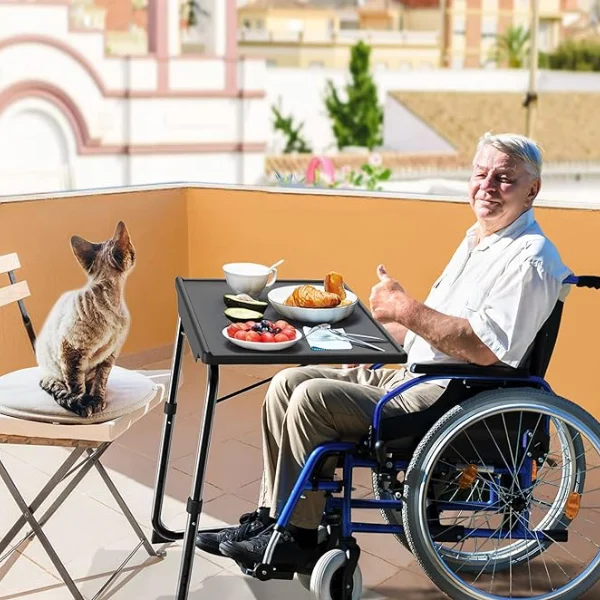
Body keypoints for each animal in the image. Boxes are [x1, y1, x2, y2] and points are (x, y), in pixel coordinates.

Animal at [36, 220, 137, 418]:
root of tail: (43, 372)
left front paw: (97, 400)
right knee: (62, 385)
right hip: (54, 368)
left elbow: (101, 380)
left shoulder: (110, 354)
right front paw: (83, 404)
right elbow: (76, 385)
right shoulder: (72, 350)